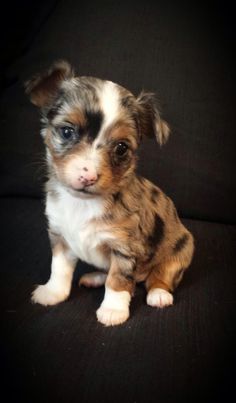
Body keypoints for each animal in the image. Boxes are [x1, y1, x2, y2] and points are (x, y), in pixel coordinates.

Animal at [25, 62, 194, 328]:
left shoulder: (124, 248)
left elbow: (118, 280)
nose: (88, 177)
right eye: (66, 131)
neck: (83, 203)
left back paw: (158, 293)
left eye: (121, 148)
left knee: (161, 275)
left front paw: (113, 310)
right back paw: (95, 277)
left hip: (182, 249)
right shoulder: (60, 237)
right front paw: (53, 292)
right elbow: (59, 268)